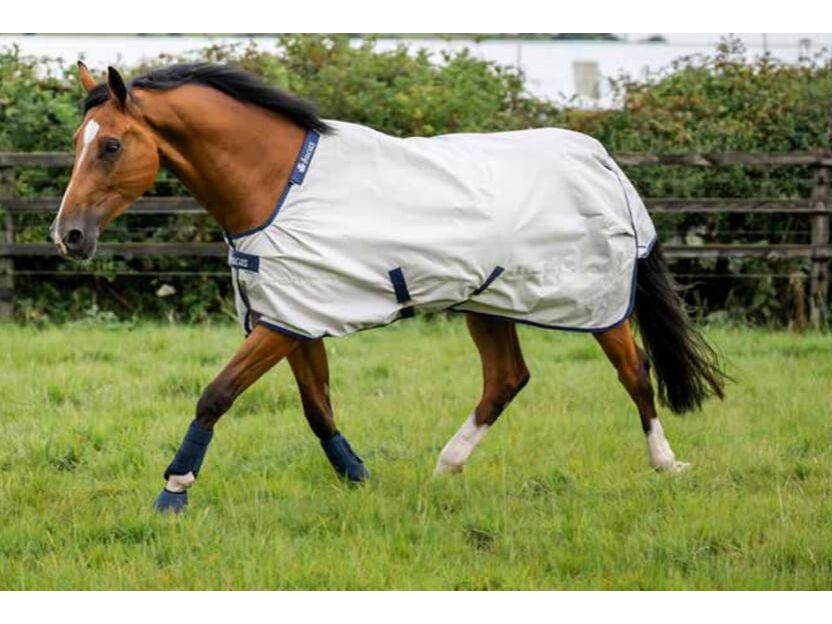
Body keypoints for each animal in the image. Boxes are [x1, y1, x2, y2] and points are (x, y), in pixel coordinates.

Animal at [52, 62, 726, 513]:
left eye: (110, 144)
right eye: (76, 143)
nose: (68, 236)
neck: (278, 185)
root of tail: (601, 158)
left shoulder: (282, 323)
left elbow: (216, 394)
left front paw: (174, 490)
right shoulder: (292, 315)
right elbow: (317, 407)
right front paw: (358, 477)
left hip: (596, 303)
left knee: (634, 369)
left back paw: (666, 464)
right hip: (488, 301)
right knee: (506, 379)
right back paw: (446, 468)